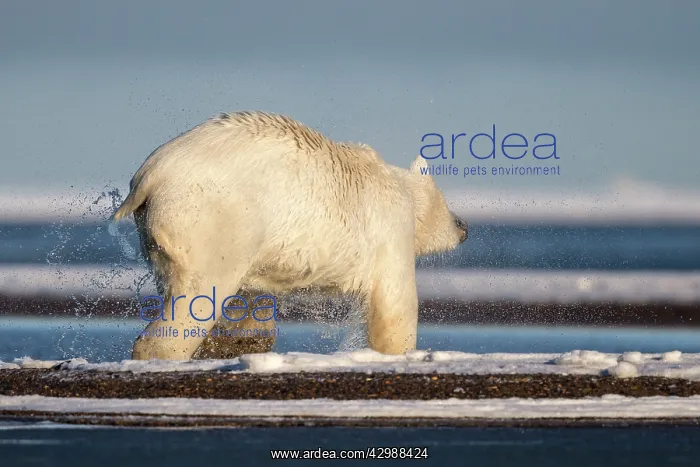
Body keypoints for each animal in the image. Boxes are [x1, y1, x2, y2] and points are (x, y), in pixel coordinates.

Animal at [112, 111, 468, 361]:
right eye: (447, 205)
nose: (463, 226)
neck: (394, 183)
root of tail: (151, 175)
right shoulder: (390, 230)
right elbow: (395, 306)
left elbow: (251, 300)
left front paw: (240, 343)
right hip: (215, 219)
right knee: (198, 296)